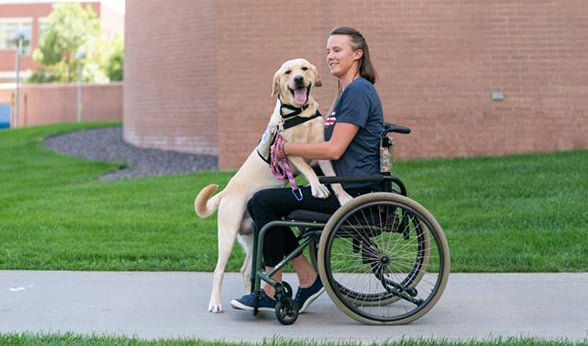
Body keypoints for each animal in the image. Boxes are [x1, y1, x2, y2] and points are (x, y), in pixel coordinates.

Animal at [195, 58, 352, 312]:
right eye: (288, 72)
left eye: (304, 69)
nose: (298, 79)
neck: (299, 113)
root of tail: (226, 192)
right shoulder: (288, 151)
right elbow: (308, 169)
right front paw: (317, 187)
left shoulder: (324, 151)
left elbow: (333, 177)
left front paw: (344, 196)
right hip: (227, 234)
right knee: (218, 270)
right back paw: (216, 303)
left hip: (253, 236)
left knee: (246, 270)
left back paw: (255, 298)